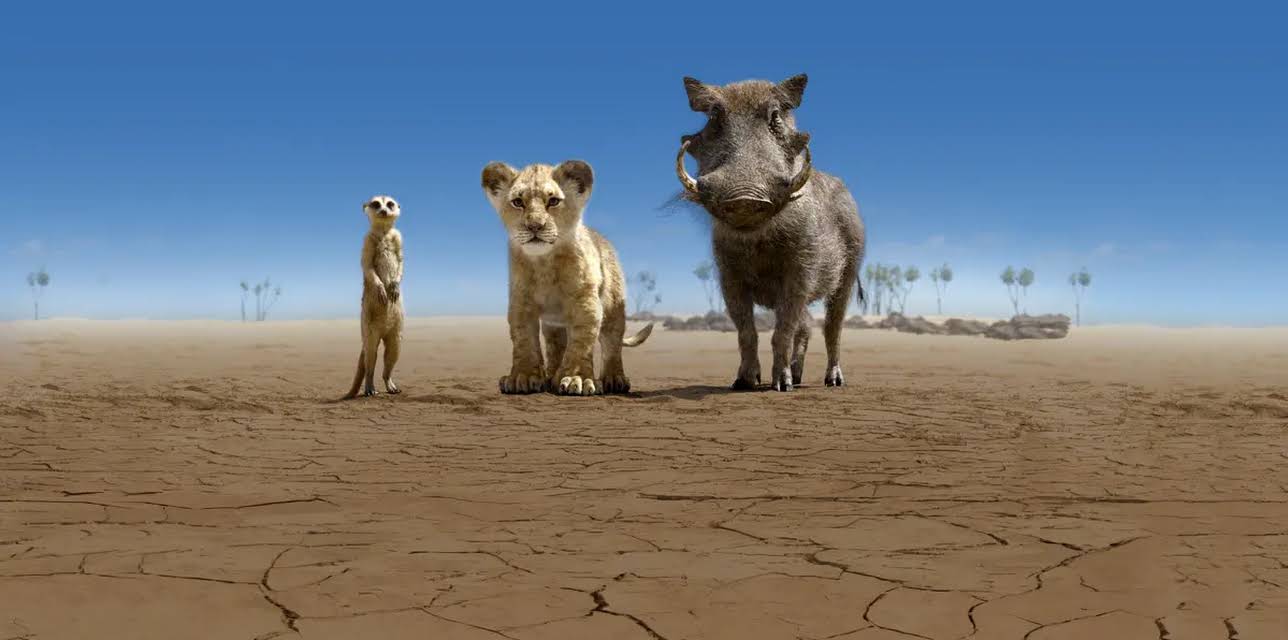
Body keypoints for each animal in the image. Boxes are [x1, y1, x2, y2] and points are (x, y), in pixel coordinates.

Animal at [344, 195, 404, 399]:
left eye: (390, 204)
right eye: (376, 204)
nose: (384, 211)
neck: (384, 232)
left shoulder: (399, 238)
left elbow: (400, 260)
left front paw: (394, 286)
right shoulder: (367, 241)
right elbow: (367, 265)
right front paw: (381, 288)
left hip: (397, 330)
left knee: (392, 352)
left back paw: (390, 384)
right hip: (368, 329)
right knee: (371, 356)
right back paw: (370, 387)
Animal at [480, 160, 653, 396]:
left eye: (553, 201)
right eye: (517, 202)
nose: (535, 226)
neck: (544, 263)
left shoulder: (584, 302)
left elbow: (581, 341)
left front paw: (576, 379)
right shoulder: (521, 303)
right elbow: (524, 340)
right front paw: (522, 377)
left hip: (614, 309)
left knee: (612, 343)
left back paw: (614, 379)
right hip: (553, 324)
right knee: (556, 345)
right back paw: (551, 377)